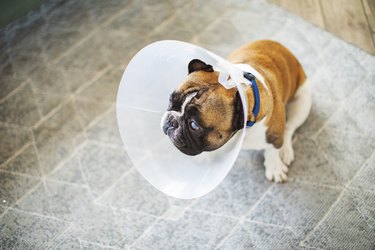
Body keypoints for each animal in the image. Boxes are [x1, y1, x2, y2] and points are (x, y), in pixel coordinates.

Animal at [161, 40, 312, 183]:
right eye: (171, 100)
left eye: (194, 125)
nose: (171, 120)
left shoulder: (273, 135)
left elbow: (272, 151)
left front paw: (275, 168)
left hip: (302, 104)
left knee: (289, 128)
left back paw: (285, 150)